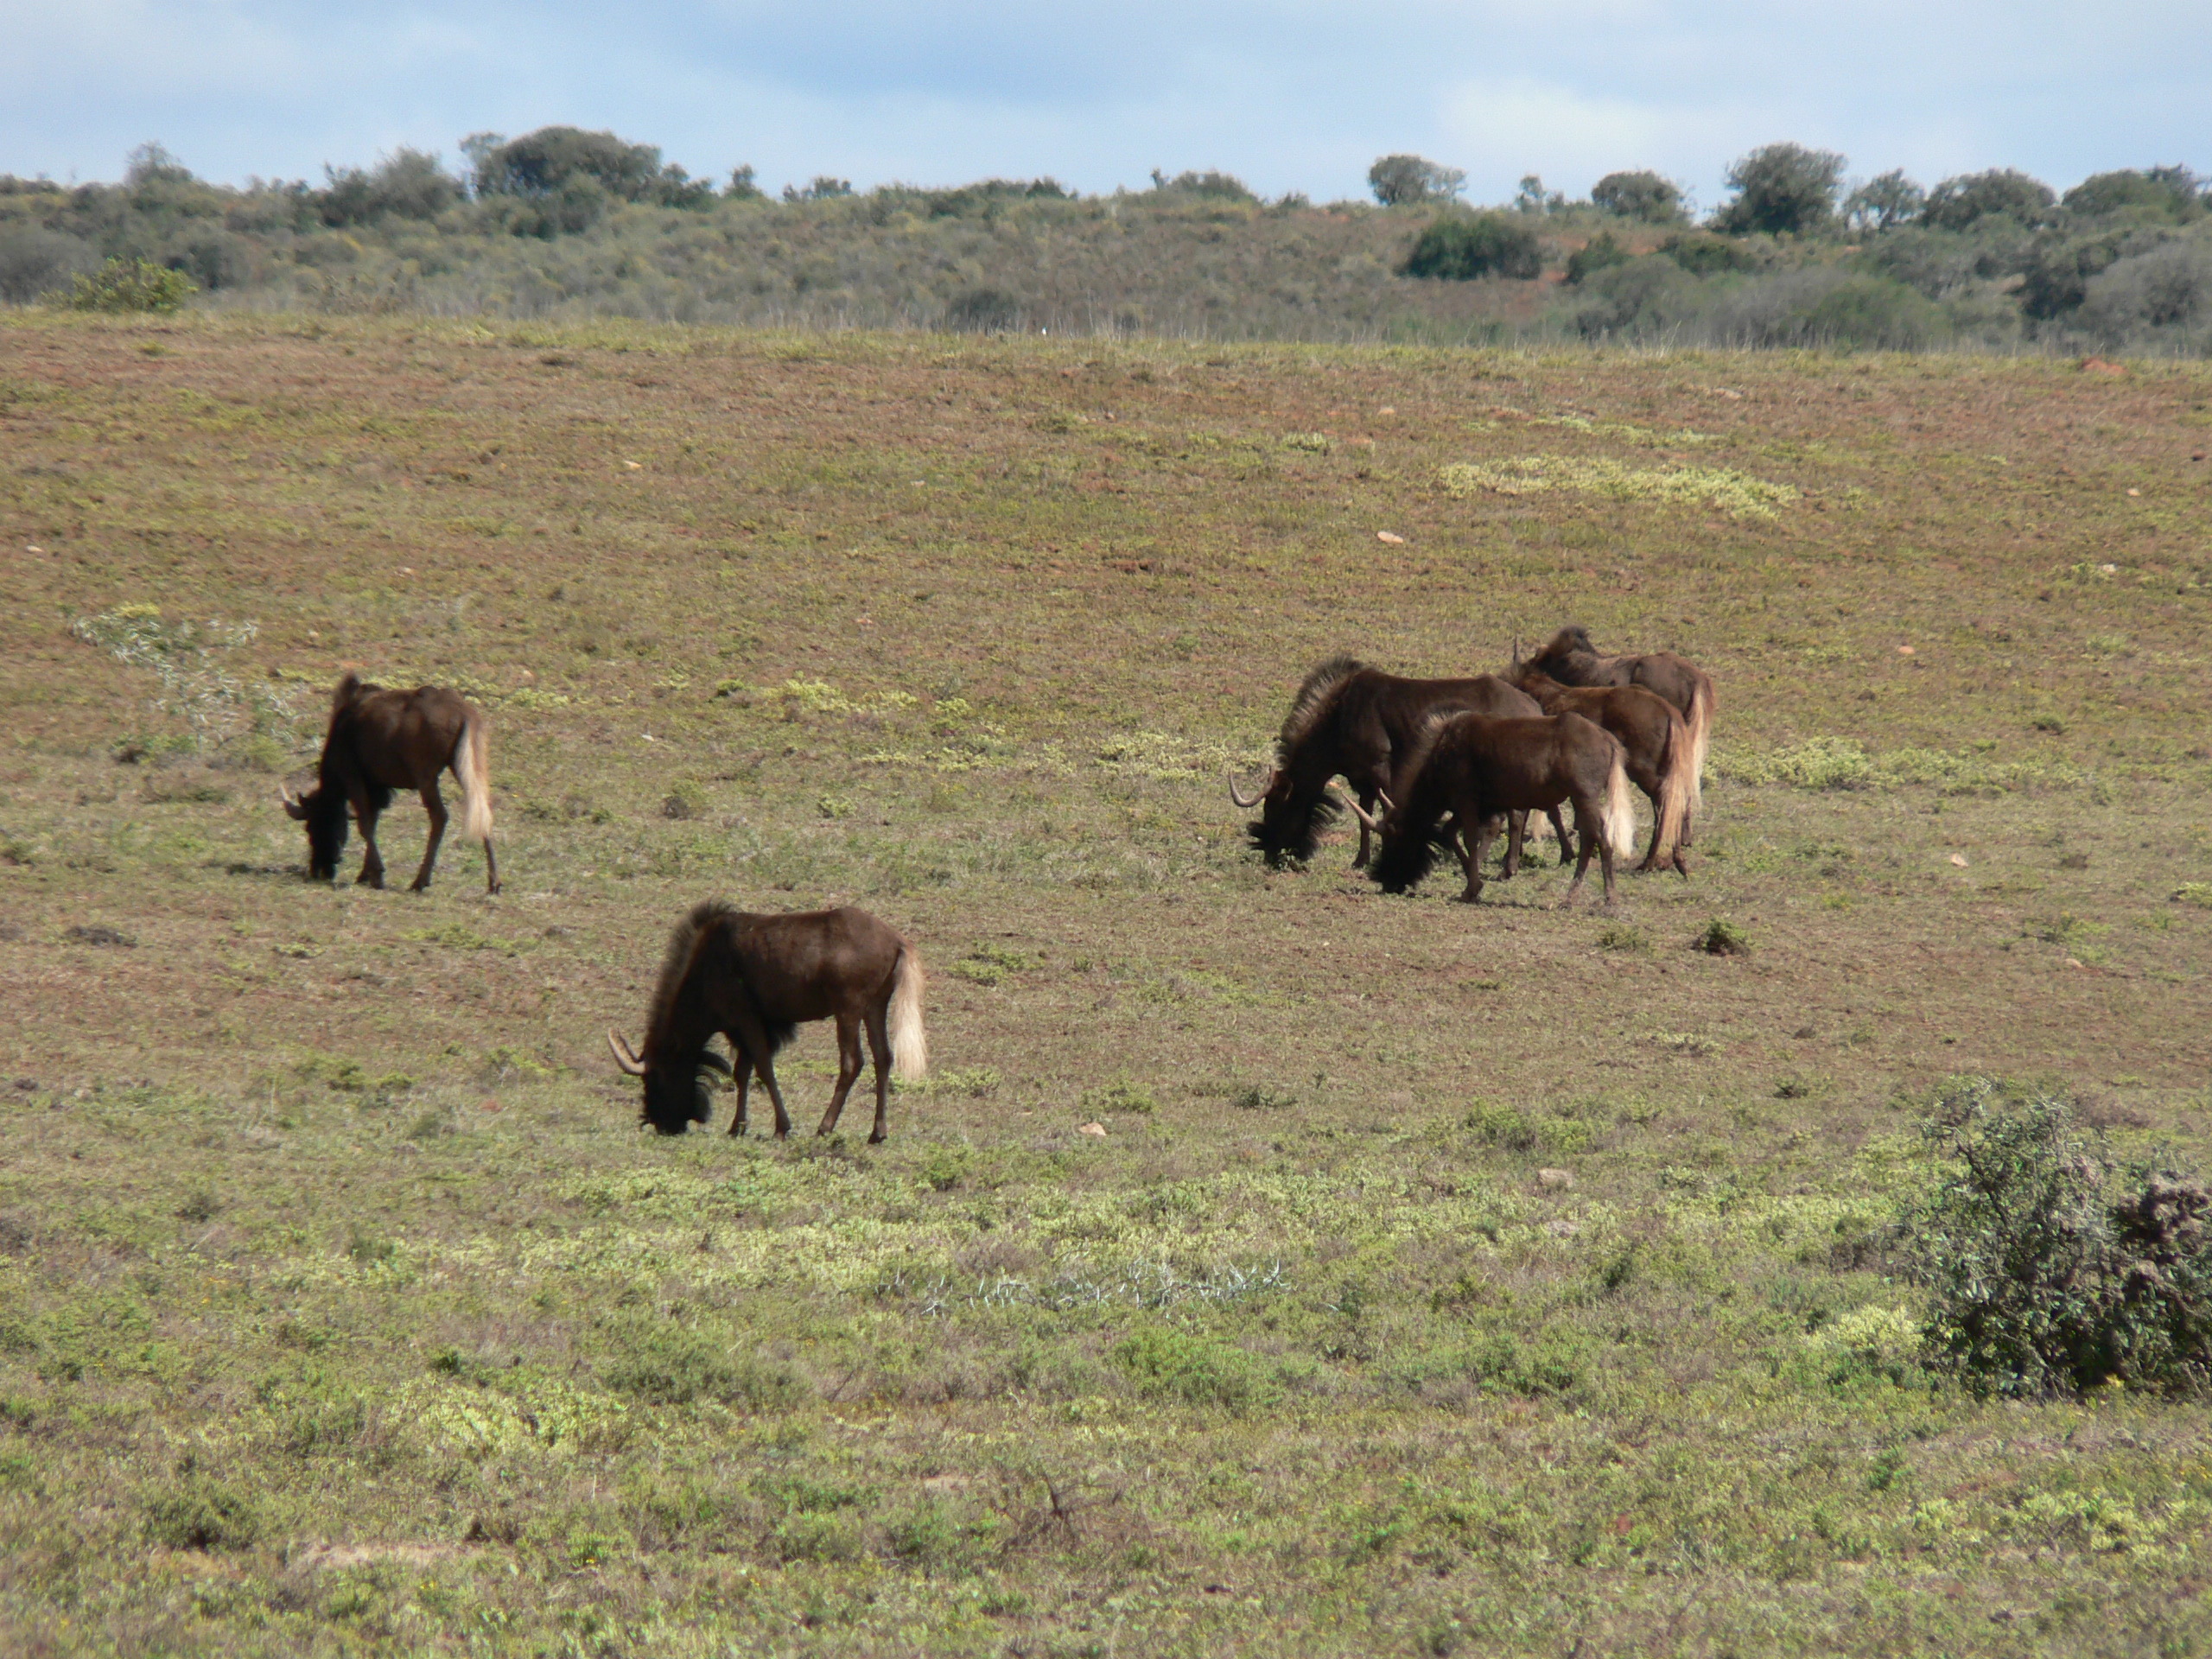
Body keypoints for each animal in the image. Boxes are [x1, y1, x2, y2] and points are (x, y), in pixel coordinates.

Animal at [281, 677, 502, 898]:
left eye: (311, 827)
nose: (318, 870)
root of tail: (464, 714)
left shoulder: (354, 777)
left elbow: (365, 825)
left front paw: (376, 875)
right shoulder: (378, 788)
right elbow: (372, 823)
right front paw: (365, 873)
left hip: (426, 776)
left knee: (440, 816)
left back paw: (420, 880)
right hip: (466, 766)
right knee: (481, 811)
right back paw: (494, 882)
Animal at [606, 902, 925, 1150]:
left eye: (655, 1078)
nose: (660, 1123)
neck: (704, 969)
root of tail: (896, 941)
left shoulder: (746, 1018)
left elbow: (763, 1069)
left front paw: (781, 1127)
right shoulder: (748, 1027)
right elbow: (742, 1073)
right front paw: (737, 1126)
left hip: (848, 1008)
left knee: (852, 1062)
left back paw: (825, 1127)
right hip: (875, 1006)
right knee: (883, 1058)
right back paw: (877, 1132)